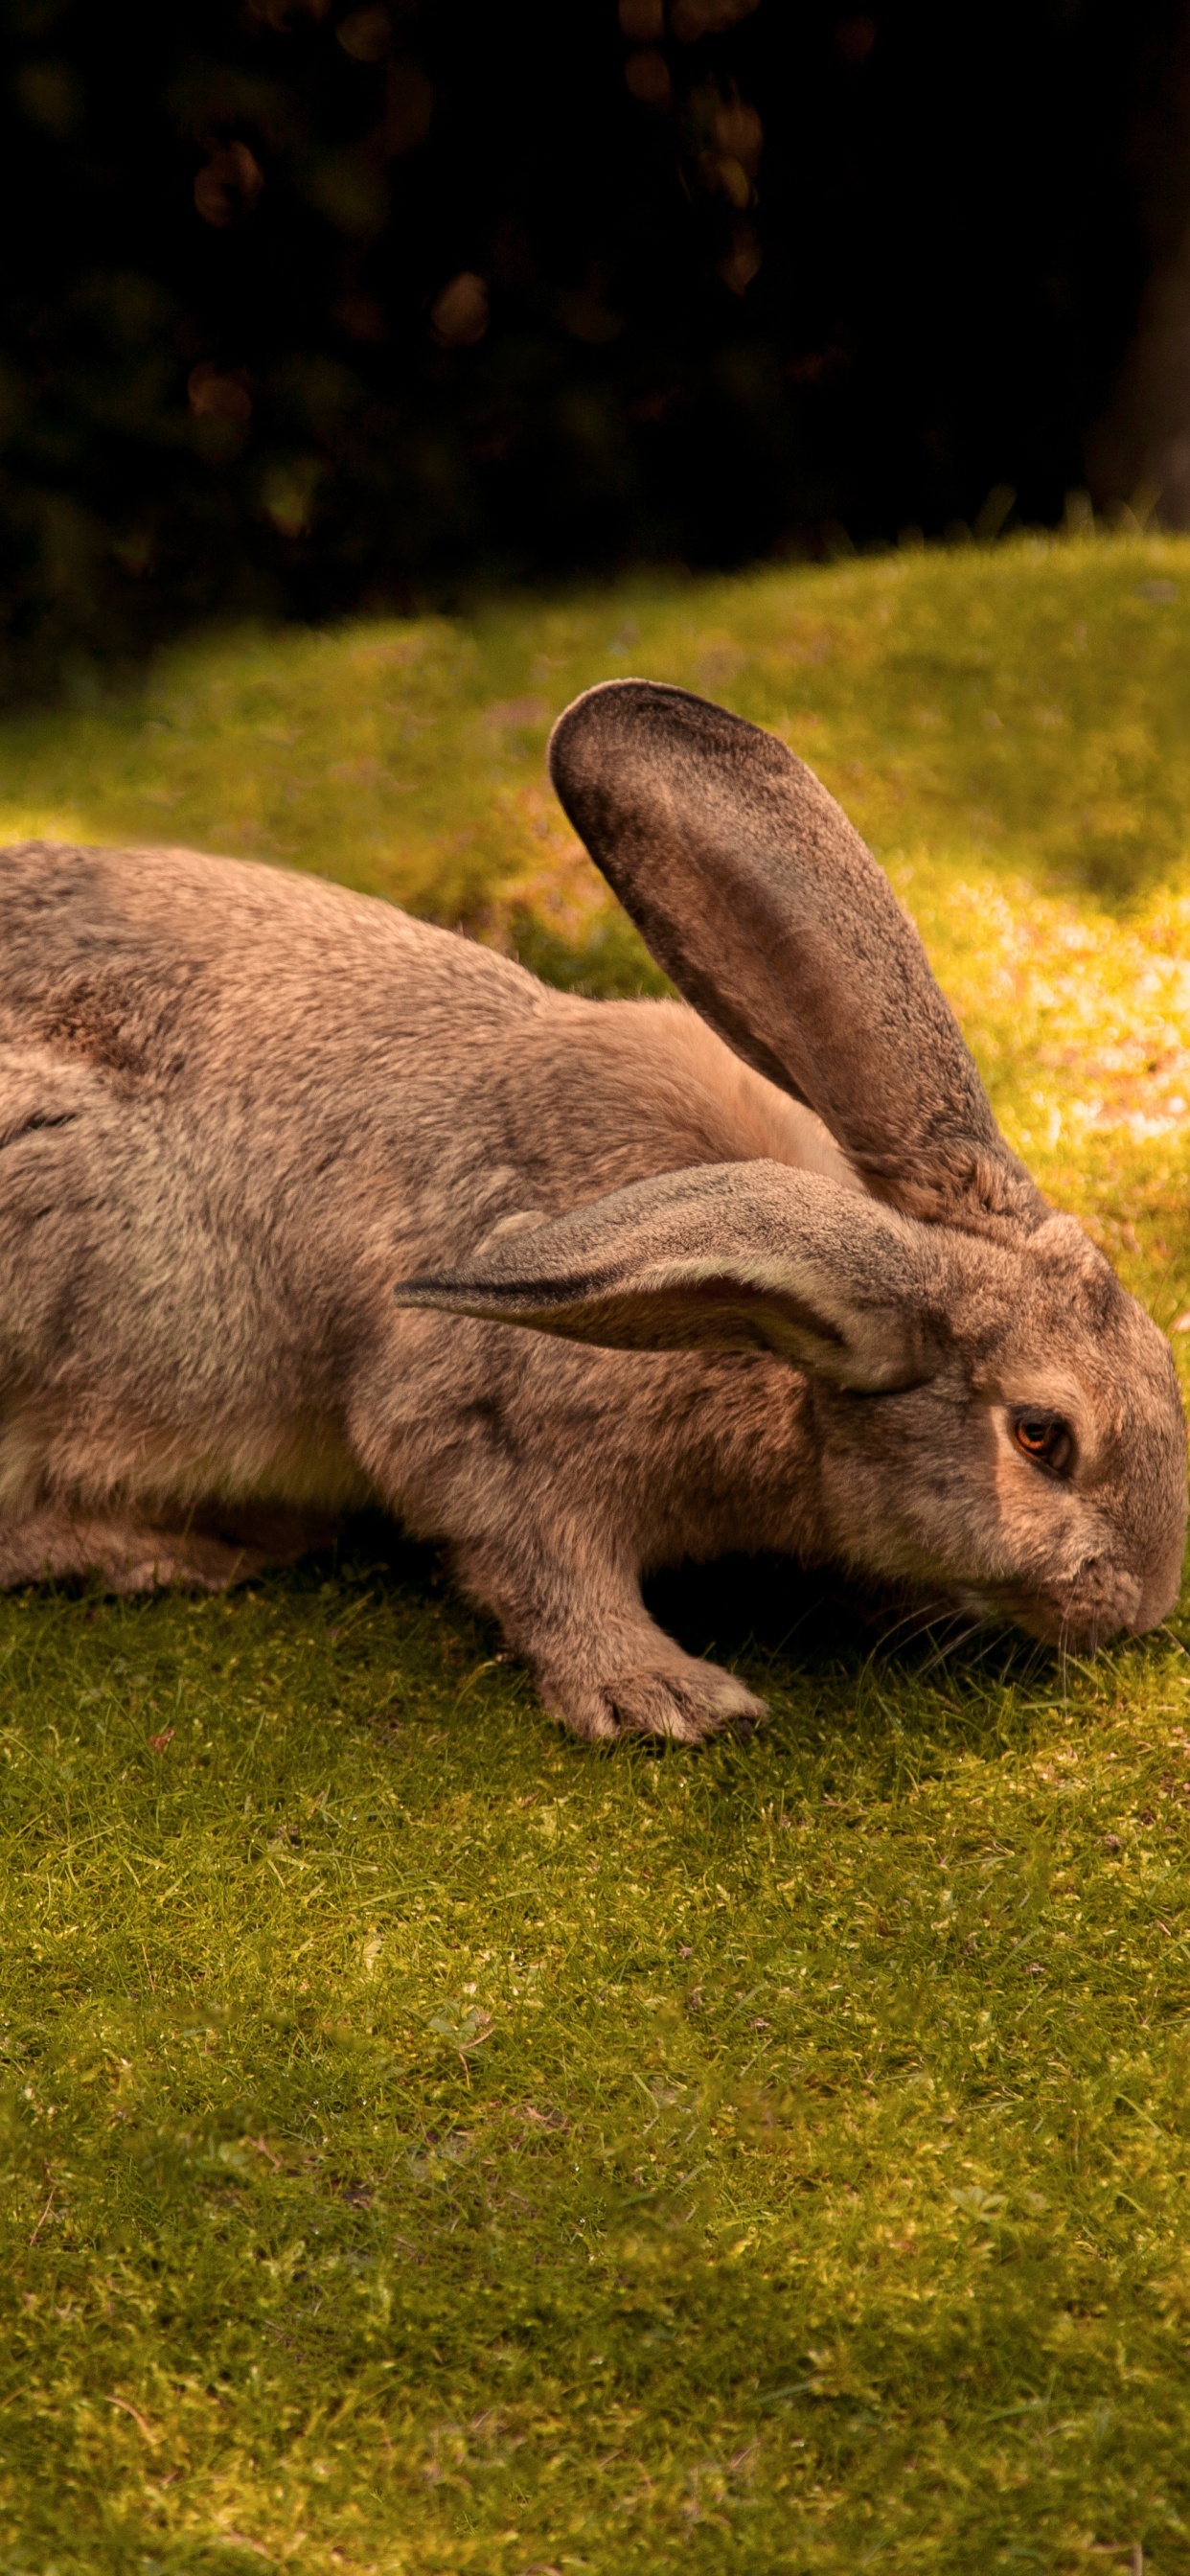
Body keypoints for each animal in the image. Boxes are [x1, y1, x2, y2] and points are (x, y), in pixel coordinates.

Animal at [0, 678, 1183, 1744]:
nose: (1142, 1607)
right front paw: (664, 1697)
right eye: (1042, 1437)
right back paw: (193, 1548)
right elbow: (540, 1568)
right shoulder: (483, 1427)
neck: (767, 1320)